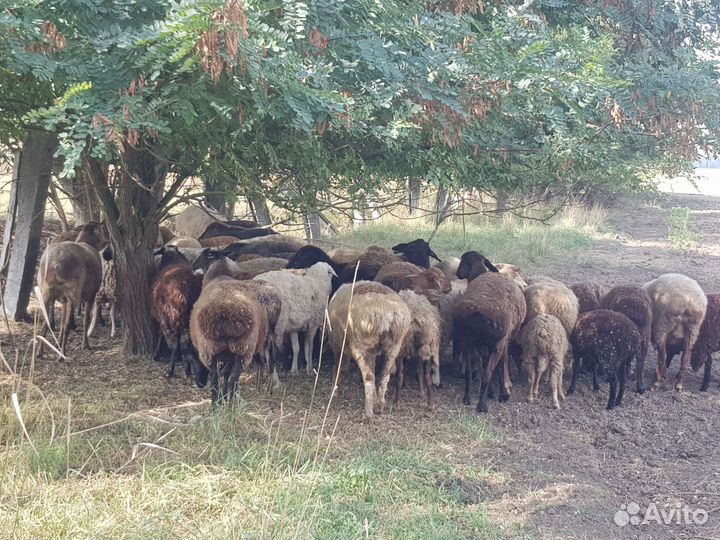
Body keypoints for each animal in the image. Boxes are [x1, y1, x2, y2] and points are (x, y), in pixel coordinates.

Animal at [37, 222, 104, 354]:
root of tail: (55, 263)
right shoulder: (91, 294)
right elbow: (85, 319)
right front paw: (85, 344)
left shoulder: (63, 299)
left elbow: (62, 321)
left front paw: (58, 342)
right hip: (73, 292)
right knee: (68, 323)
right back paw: (62, 354)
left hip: (47, 290)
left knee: (46, 320)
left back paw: (40, 352)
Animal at [151, 246, 203, 378]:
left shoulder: (162, 314)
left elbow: (161, 334)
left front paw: (156, 354)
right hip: (190, 316)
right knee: (190, 341)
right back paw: (188, 368)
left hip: (176, 314)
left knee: (175, 339)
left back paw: (170, 369)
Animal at [189, 275, 269, 406]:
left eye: (192, 362)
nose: (199, 384)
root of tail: (225, 314)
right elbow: (226, 374)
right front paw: (224, 398)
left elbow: (225, 374)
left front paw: (223, 398)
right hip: (238, 350)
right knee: (227, 379)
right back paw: (225, 405)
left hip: (213, 350)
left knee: (218, 380)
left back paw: (220, 405)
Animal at [328, 282, 411, 419]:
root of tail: (388, 314)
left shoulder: (336, 344)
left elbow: (336, 367)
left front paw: (334, 391)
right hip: (394, 346)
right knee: (384, 375)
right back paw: (379, 406)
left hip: (362, 344)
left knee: (369, 377)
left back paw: (368, 414)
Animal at [453, 272, 526, 413]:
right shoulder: (502, 342)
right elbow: (501, 365)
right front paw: (503, 394)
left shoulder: (484, 344)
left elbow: (487, 364)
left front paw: (492, 392)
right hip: (495, 343)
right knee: (488, 372)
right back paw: (482, 406)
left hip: (467, 342)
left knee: (469, 371)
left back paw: (467, 398)